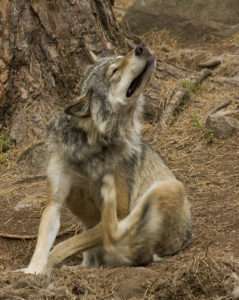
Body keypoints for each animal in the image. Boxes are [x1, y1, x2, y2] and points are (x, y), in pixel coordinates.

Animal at [21, 44, 192, 274]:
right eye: (114, 70)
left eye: (122, 57)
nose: (141, 47)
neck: (91, 147)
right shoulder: (54, 202)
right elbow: (43, 244)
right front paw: (33, 271)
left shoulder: (120, 211)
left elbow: (61, 245)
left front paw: (48, 265)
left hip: (169, 187)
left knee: (115, 236)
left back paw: (108, 188)